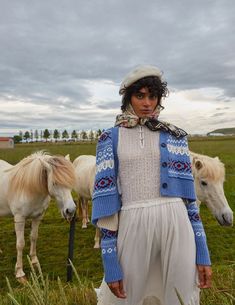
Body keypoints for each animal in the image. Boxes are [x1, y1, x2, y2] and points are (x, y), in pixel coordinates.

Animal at [0, 151, 75, 282]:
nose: (70, 211)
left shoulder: (38, 216)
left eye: (70, 181)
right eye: (54, 183)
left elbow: (34, 237)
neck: (27, 188)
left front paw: (35, 263)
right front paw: (20, 273)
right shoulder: (19, 219)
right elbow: (20, 244)